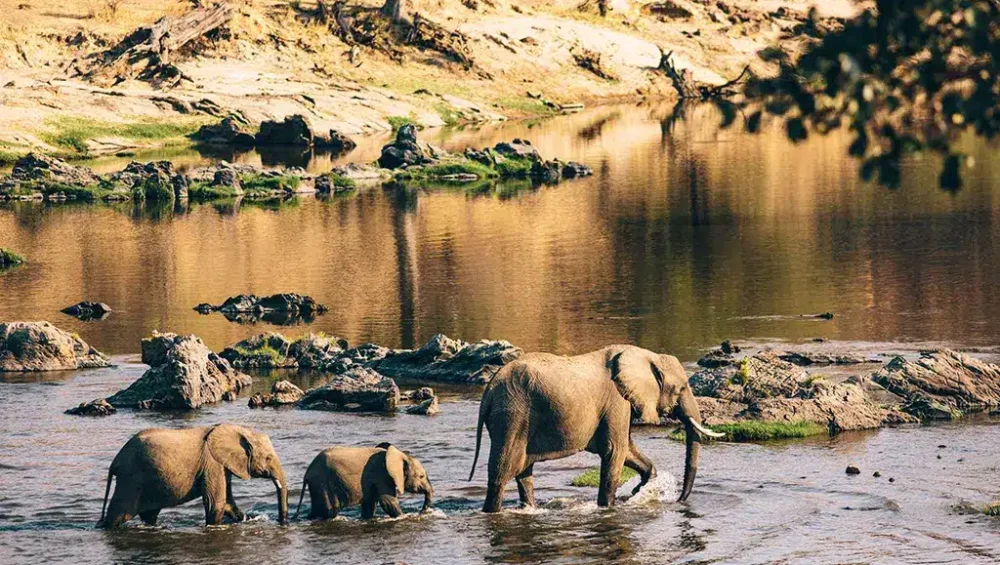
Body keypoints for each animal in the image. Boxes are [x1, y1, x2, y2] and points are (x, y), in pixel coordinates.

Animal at [97, 423, 288, 528]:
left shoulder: (221, 465)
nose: (283, 521)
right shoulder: (212, 463)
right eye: (268, 458)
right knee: (119, 513)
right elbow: (216, 503)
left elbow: (227, 503)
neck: (236, 429)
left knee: (149, 514)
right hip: (131, 478)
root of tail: (116, 460)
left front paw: (247, 520)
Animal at [294, 443, 433, 520]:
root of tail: (307, 473)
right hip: (322, 483)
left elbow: (370, 504)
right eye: (421, 476)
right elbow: (388, 501)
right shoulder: (381, 475)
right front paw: (404, 517)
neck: (398, 455)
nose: (421, 512)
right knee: (327, 510)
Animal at [469, 345, 723, 512]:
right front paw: (609, 507)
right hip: (512, 416)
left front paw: (639, 491)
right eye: (682, 388)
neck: (647, 355)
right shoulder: (617, 402)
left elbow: (627, 449)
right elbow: (615, 451)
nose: (680, 500)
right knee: (502, 472)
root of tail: (490, 387)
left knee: (523, 471)